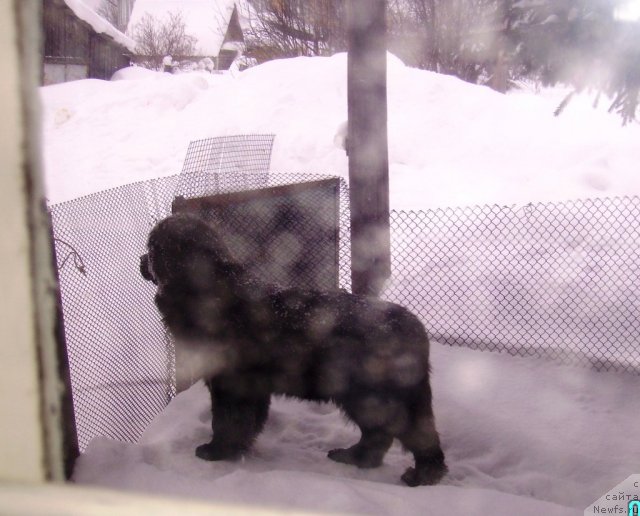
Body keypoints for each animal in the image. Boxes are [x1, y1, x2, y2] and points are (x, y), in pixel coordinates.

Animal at [140, 212, 448, 486]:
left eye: (152, 248)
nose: (141, 261)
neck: (209, 291)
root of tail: (415, 327)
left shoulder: (231, 384)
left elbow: (227, 420)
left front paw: (217, 451)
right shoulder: (252, 388)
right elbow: (247, 422)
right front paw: (237, 450)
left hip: (375, 395)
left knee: (413, 433)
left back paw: (422, 475)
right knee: (380, 434)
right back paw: (356, 457)